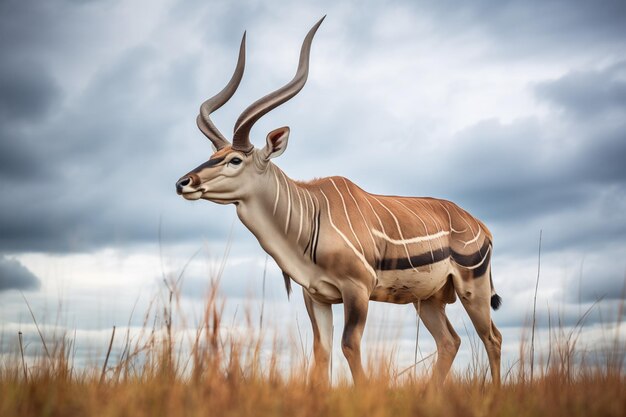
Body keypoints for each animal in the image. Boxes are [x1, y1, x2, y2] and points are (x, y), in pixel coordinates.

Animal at [176, 18, 502, 384]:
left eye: (235, 159)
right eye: (212, 156)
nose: (184, 183)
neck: (311, 214)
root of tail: (478, 225)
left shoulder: (356, 290)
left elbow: (349, 346)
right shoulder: (317, 297)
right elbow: (321, 352)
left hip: (472, 292)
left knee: (492, 338)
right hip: (428, 300)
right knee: (450, 341)